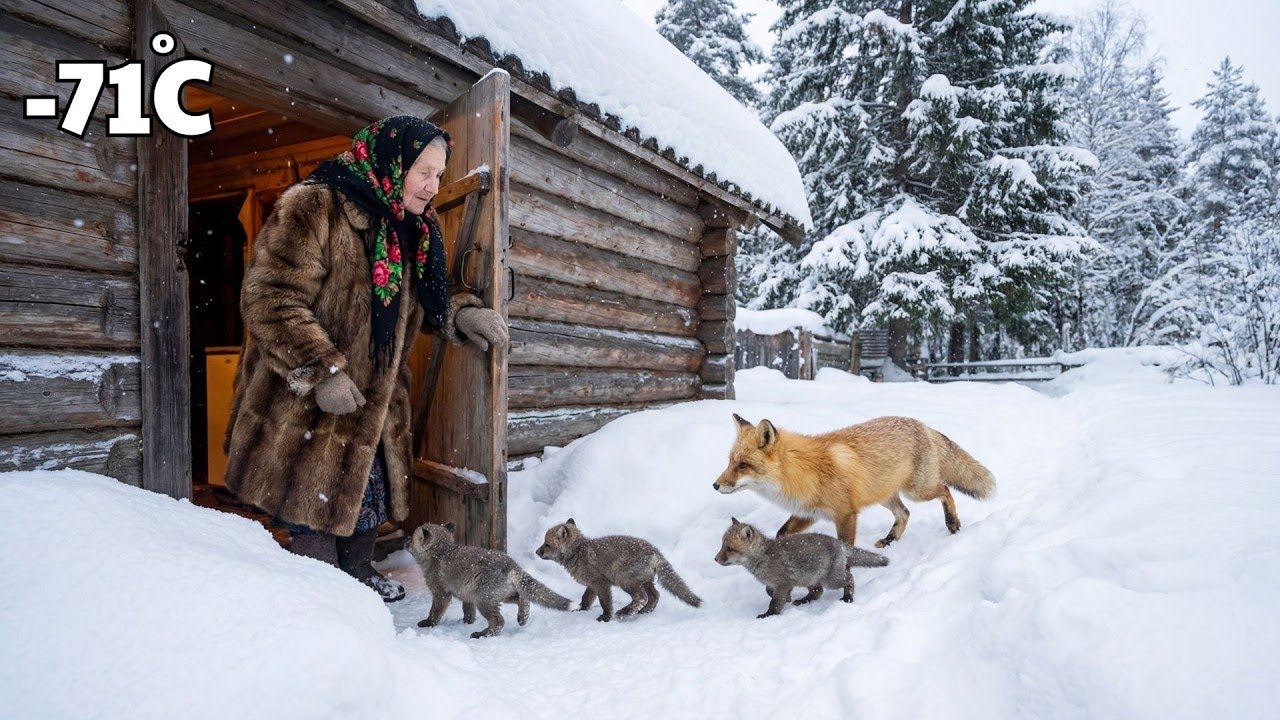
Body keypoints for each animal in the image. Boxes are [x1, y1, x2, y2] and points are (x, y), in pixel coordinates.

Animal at [408, 522, 572, 639]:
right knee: (523, 600)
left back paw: (483, 635)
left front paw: (428, 623)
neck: (441, 552)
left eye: (411, 539)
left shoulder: (441, 593)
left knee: (499, 621)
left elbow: (435, 612)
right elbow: (468, 612)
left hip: (484, 600)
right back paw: (522, 618)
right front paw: (467, 623)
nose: (405, 541)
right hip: (501, 597)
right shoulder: (467, 596)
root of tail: (513, 565)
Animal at [535, 518, 702, 622]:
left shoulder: (601, 583)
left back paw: (624, 612)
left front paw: (606, 618)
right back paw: (644, 611)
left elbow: (605, 603)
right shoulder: (592, 585)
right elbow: (585, 599)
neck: (578, 552)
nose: (536, 552)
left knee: (641, 597)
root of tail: (656, 552)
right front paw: (580, 609)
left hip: (624, 579)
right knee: (655, 596)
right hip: (646, 581)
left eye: (546, 544)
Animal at [713, 414, 994, 548]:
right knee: (904, 514)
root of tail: (922, 424)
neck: (804, 472)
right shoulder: (808, 513)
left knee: (945, 490)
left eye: (743, 465)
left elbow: (845, 549)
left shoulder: (846, 514)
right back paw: (890, 540)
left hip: (918, 490)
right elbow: (782, 533)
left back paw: (953, 523)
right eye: (730, 462)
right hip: (885, 495)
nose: (715, 485)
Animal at [715, 517, 889, 618]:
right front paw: (788, 599)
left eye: (729, 548)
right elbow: (769, 592)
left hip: (831, 580)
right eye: (722, 545)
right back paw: (804, 600)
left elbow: (775, 602)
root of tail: (839, 543)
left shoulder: (783, 583)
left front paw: (769, 614)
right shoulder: (780, 583)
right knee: (818, 592)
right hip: (810, 580)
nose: (715, 559)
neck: (764, 556)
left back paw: (848, 597)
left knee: (849, 578)